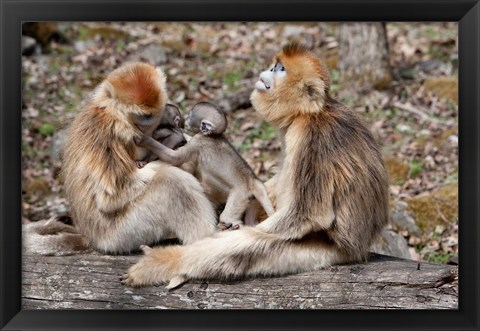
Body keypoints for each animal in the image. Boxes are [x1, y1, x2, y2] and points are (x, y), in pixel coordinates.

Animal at [61, 62, 216, 254]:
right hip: (120, 235)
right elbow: (111, 197)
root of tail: (91, 239)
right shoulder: (104, 131)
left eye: (151, 114)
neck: (117, 116)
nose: (148, 122)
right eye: (142, 115)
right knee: (172, 182)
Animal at [135, 102, 274, 231]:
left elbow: (175, 158)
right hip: (254, 198)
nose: (185, 119)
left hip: (241, 195)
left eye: (190, 115)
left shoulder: (198, 141)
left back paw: (230, 223)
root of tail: (253, 181)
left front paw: (145, 140)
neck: (211, 135)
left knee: (229, 211)